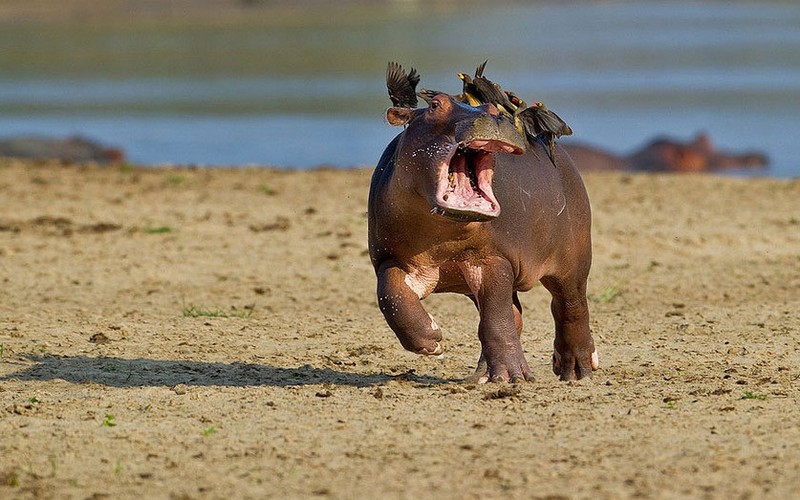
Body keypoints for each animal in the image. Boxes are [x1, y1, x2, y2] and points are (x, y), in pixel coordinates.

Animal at [368, 93, 592, 382]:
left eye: (492, 108)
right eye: (434, 105)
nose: (490, 117)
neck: (443, 234)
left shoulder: (494, 258)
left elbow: (496, 318)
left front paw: (513, 377)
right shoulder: (390, 258)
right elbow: (391, 296)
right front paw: (432, 341)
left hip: (573, 261)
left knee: (570, 307)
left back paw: (576, 371)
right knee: (515, 315)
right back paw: (482, 375)